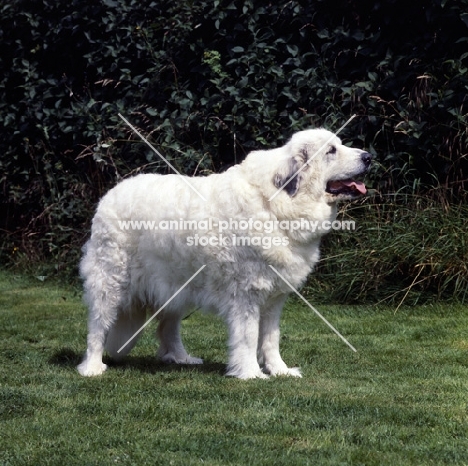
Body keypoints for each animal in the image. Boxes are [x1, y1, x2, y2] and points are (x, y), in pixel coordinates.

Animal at [77, 127, 372, 378]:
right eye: (331, 150)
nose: (369, 157)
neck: (277, 203)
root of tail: (113, 192)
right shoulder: (246, 293)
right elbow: (249, 336)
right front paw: (251, 373)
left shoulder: (274, 298)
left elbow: (271, 339)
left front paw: (280, 371)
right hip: (110, 281)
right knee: (97, 327)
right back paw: (91, 367)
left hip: (176, 284)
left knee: (167, 328)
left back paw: (181, 358)